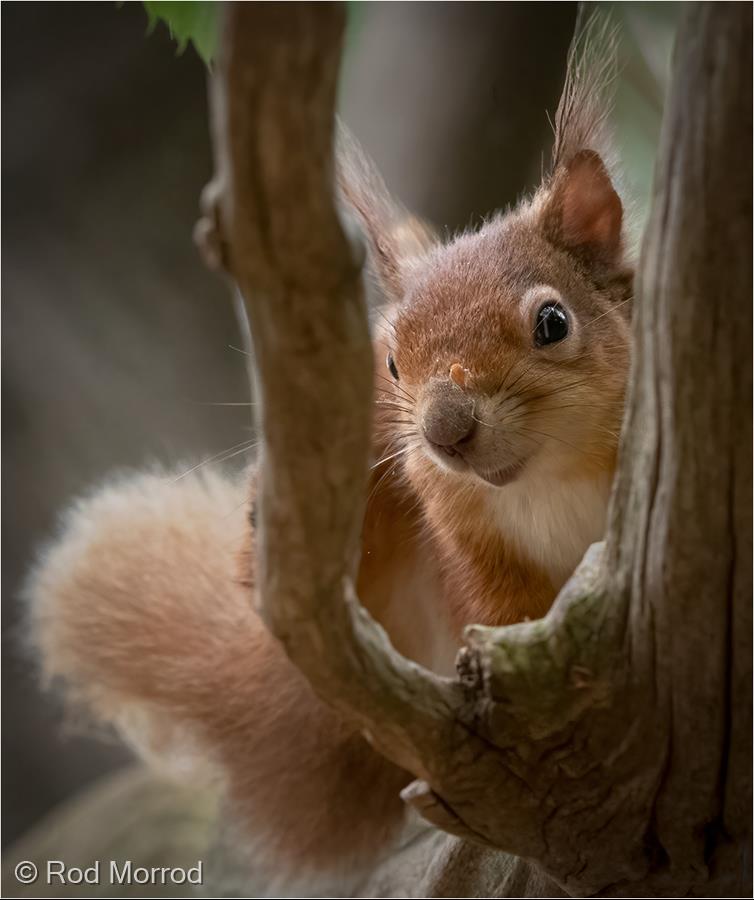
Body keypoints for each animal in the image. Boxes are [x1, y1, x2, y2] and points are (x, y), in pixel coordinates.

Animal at [27, 14, 633, 889]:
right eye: (391, 362)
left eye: (553, 323)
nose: (446, 432)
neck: (546, 478)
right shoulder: (475, 557)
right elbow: (504, 618)